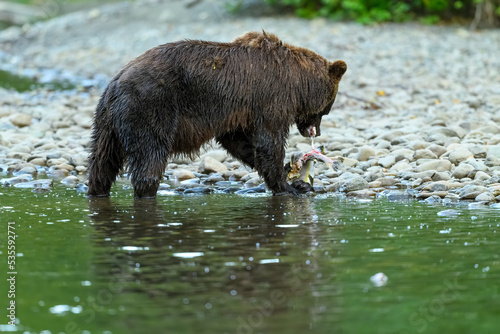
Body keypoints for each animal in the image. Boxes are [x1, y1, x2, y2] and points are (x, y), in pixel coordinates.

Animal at [88, 30, 346, 198]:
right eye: (327, 109)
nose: (316, 132)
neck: (298, 82)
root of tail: (115, 82)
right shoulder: (271, 99)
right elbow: (269, 142)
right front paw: (289, 187)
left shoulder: (237, 111)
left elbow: (241, 142)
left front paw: (293, 178)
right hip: (149, 107)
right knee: (150, 157)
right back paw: (147, 192)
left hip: (107, 122)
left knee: (102, 161)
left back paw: (97, 191)